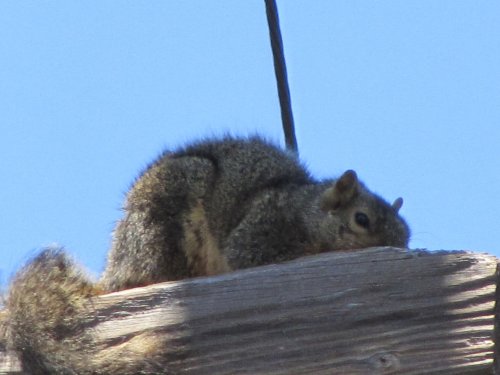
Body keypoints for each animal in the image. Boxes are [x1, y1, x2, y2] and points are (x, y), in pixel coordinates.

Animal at [2, 137, 410, 374]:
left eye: (406, 235)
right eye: (361, 219)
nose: (397, 250)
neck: (304, 210)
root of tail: (113, 272)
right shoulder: (261, 229)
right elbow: (254, 254)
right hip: (166, 216)